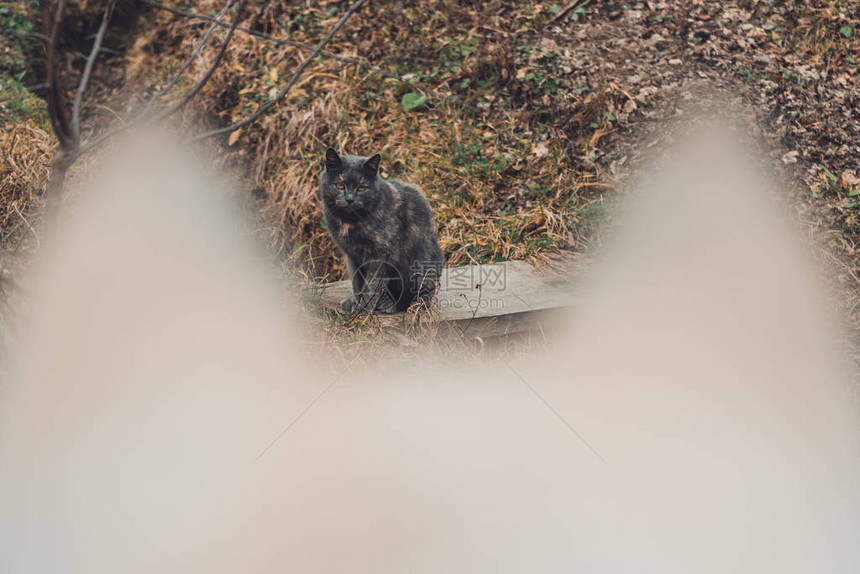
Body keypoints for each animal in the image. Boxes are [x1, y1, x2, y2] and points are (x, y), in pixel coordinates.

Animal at [320, 146, 444, 312]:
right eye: (340, 185)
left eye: (362, 188)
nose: (350, 199)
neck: (351, 222)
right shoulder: (353, 256)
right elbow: (357, 282)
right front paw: (356, 304)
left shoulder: (381, 254)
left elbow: (372, 284)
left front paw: (364, 308)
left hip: (421, 268)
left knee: (419, 298)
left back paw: (395, 306)